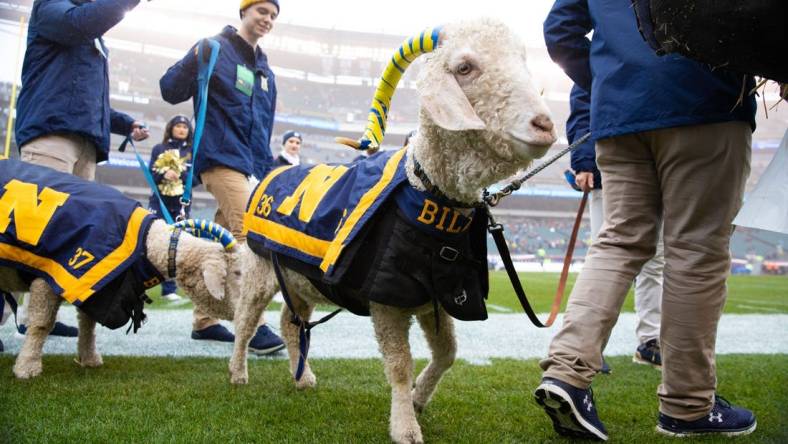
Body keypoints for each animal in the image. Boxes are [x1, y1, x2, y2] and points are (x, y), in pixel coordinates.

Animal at [222, 20, 556, 444]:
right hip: (259, 269)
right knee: (246, 322)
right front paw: (405, 426)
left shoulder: (434, 296)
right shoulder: (387, 301)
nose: (545, 125)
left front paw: (417, 399)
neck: (423, 192)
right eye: (464, 67)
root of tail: (268, 176)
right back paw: (238, 373)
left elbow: (447, 353)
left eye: (521, 60)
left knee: (289, 322)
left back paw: (304, 378)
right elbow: (400, 365)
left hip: (300, 281)